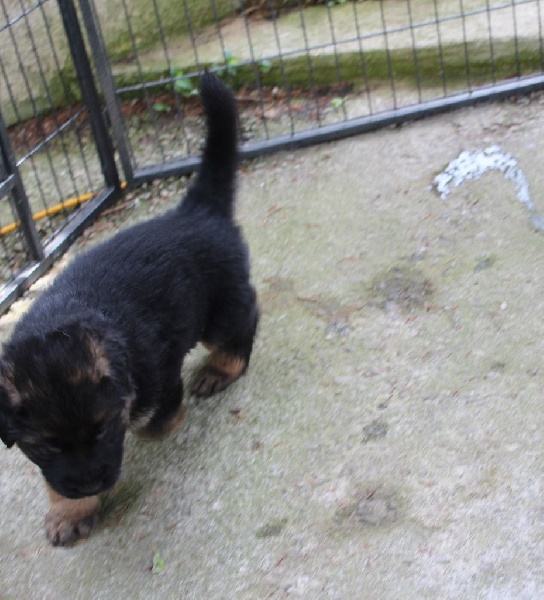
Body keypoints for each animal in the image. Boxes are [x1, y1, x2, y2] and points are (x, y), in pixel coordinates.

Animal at [0, 72, 258, 548]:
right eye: (43, 445)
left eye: (101, 428)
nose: (90, 483)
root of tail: (195, 211)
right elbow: (53, 479)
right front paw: (69, 510)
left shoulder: (159, 376)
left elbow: (154, 420)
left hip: (221, 310)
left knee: (245, 317)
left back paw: (221, 368)